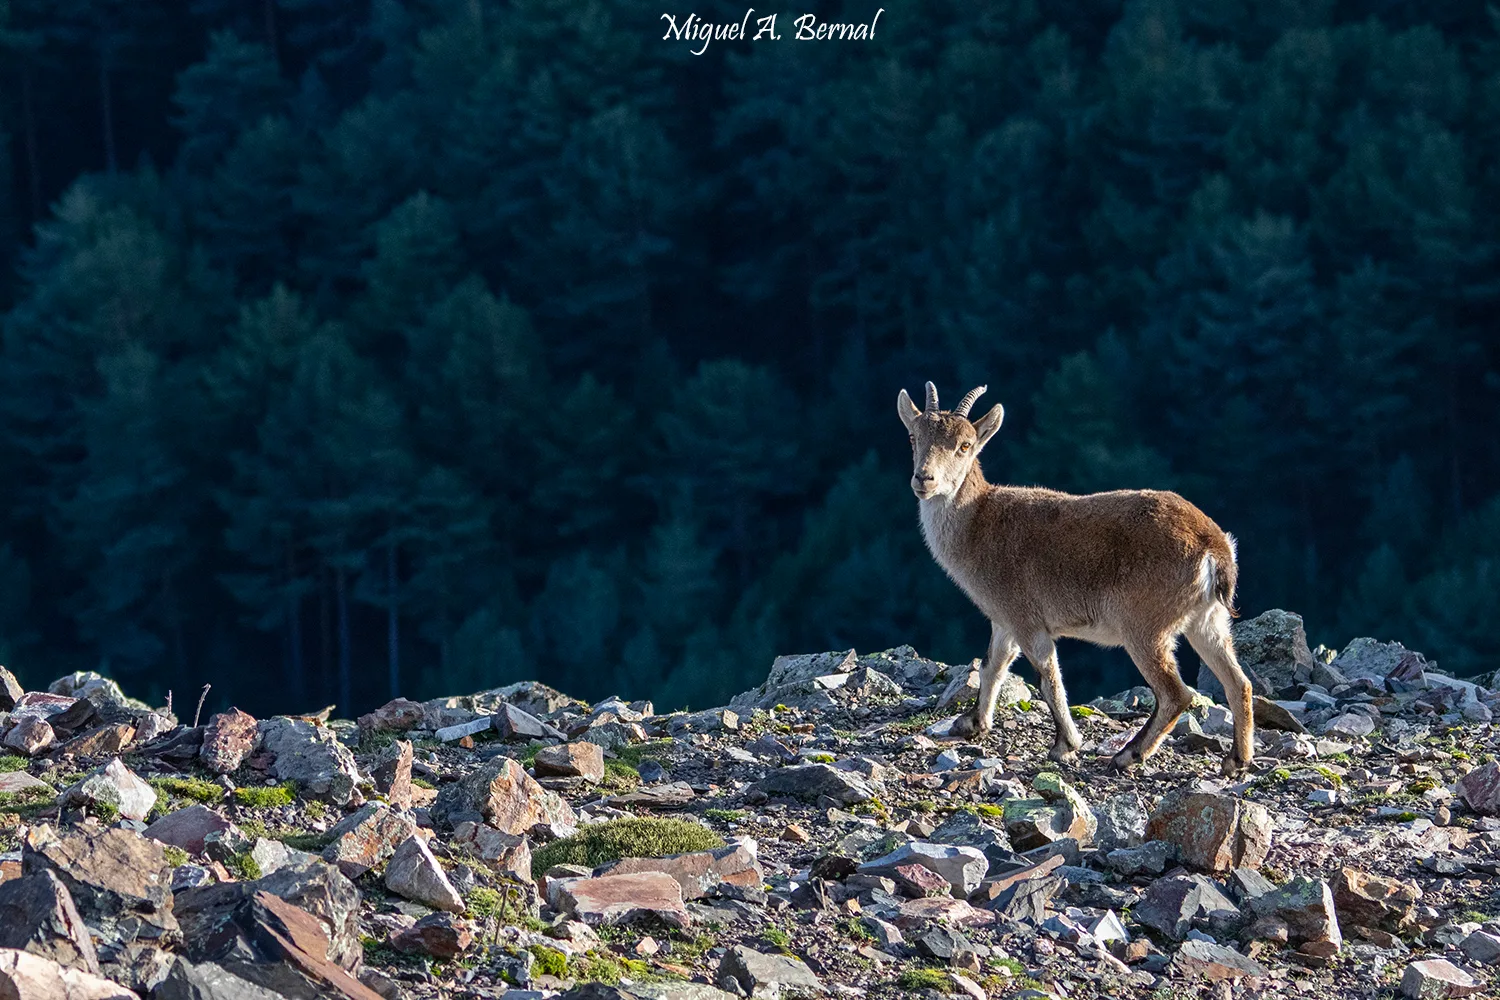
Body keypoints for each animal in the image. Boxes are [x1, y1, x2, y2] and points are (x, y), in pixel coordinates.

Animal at [897, 381, 1253, 774]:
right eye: (914, 436)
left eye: (964, 445)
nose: (924, 479)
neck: (979, 523)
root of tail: (1214, 547)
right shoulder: (1004, 620)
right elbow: (993, 664)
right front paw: (972, 723)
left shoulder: (1027, 619)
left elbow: (1048, 677)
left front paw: (1065, 745)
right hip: (1207, 620)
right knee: (1239, 683)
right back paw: (1236, 759)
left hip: (1145, 626)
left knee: (1176, 693)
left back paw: (1128, 754)